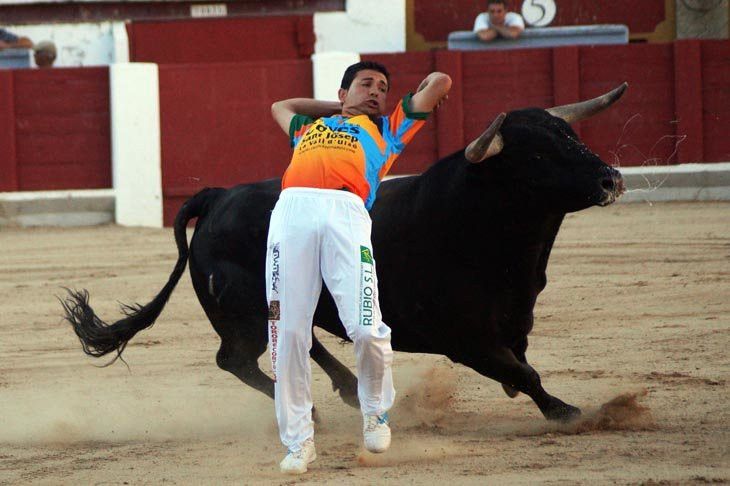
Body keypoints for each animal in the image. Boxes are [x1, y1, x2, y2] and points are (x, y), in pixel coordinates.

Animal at [61, 83, 624, 422]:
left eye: (570, 134)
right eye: (536, 155)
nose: (611, 178)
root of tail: (218, 197)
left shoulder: (512, 323)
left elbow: (521, 364)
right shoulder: (465, 340)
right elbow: (523, 372)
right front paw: (566, 412)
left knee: (301, 339)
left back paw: (350, 390)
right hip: (243, 316)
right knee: (236, 358)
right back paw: (308, 411)